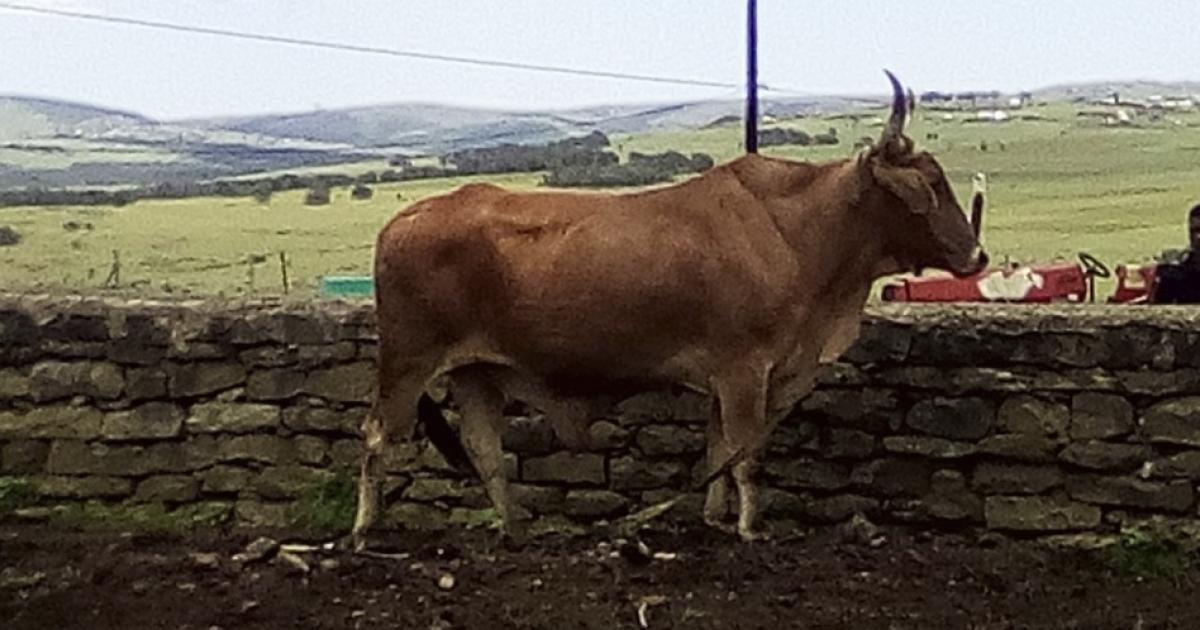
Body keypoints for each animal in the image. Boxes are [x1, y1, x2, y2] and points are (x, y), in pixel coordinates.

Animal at [352, 71, 988, 548]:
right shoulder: (744, 369)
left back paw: (513, 529)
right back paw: (365, 531)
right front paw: (751, 529)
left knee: (485, 448)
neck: (796, 232)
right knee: (378, 434)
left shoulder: (730, 376)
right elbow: (747, 455)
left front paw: (713, 519)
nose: (977, 255)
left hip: (476, 371)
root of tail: (404, 219)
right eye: (931, 185)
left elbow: (719, 449)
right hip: (408, 360)